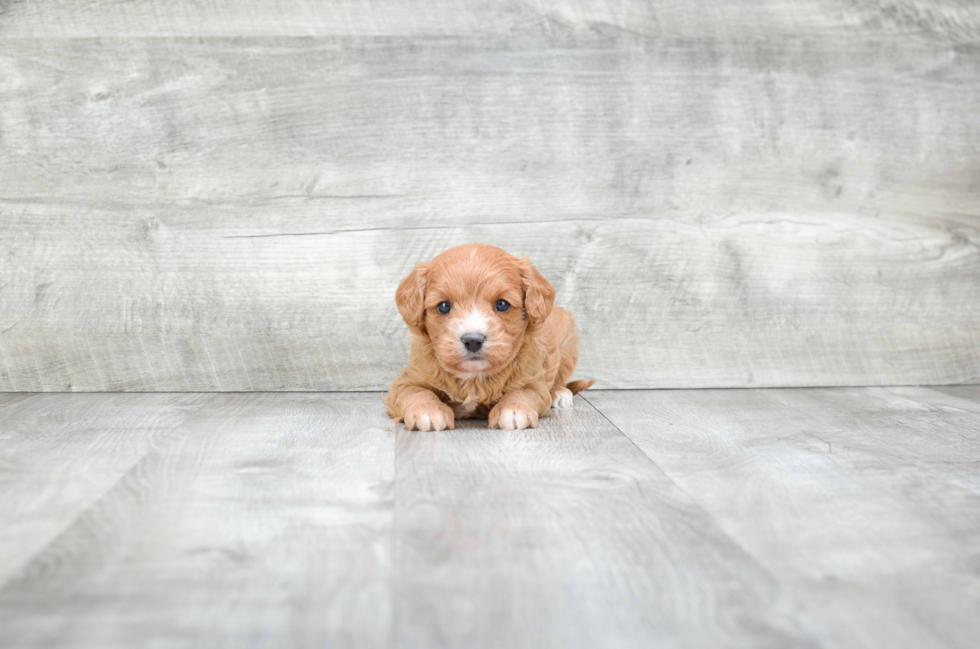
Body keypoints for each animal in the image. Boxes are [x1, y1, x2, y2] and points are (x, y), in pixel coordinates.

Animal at [384, 243, 592, 430]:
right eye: (443, 306)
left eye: (502, 304)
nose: (472, 340)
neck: (474, 377)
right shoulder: (409, 379)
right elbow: (416, 392)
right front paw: (427, 411)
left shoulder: (533, 381)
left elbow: (523, 393)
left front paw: (514, 410)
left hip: (566, 343)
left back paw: (560, 393)